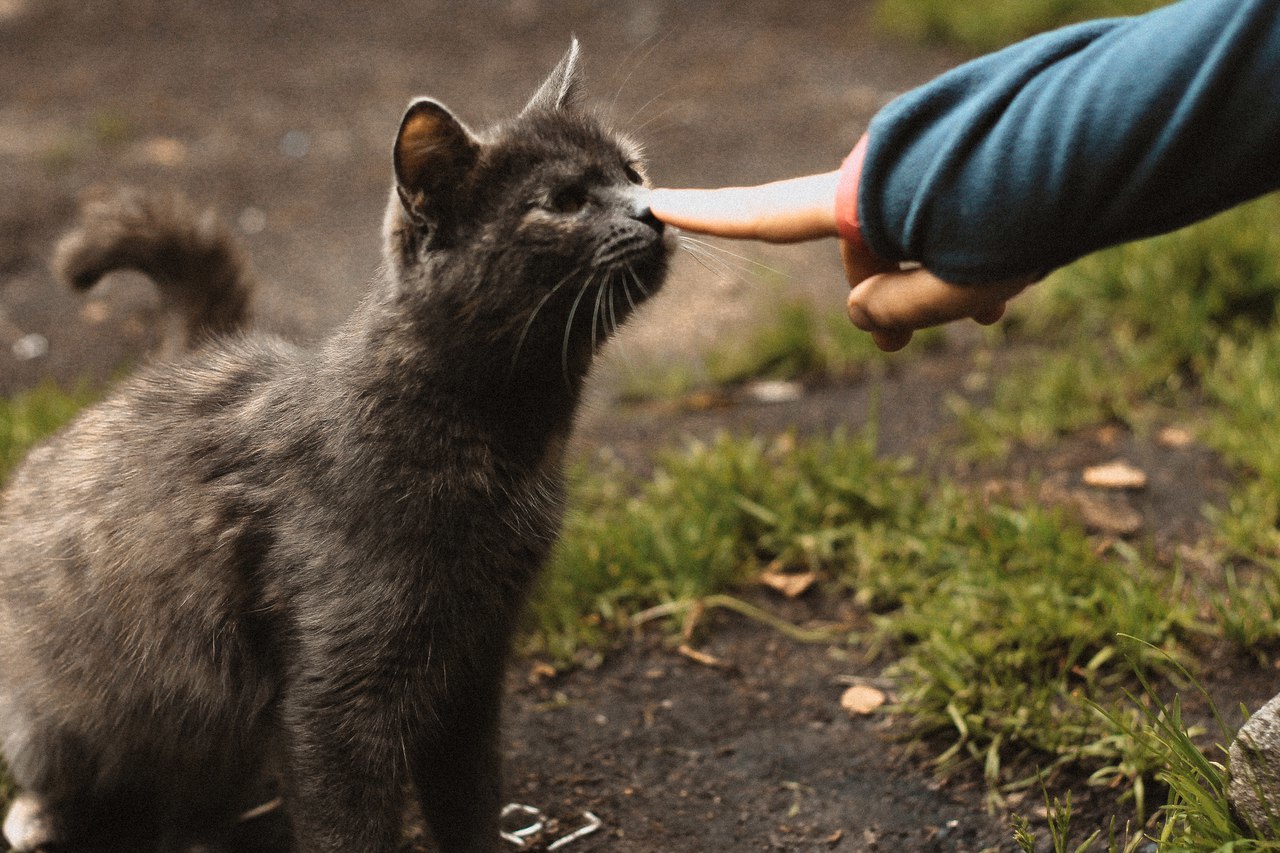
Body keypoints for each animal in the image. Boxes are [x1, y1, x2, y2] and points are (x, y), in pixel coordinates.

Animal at [0, 44, 675, 850]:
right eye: (564, 200)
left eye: (632, 171)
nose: (651, 210)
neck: (509, 449)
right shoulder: (337, 697)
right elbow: (347, 822)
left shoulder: (474, 665)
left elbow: (470, 796)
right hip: (58, 706)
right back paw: (44, 818)